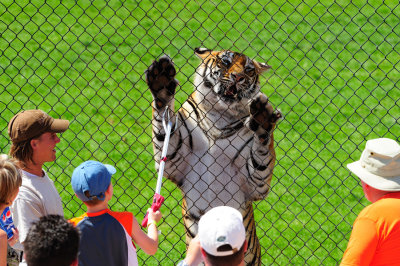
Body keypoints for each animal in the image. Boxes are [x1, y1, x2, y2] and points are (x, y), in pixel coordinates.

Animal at [145, 46, 282, 264]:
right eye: (226, 62)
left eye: (249, 70)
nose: (238, 77)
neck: (220, 115)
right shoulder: (174, 161)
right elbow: (163, 124)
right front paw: (161, 81)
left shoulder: (255, 185)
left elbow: (261, 153)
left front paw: (262, 117)